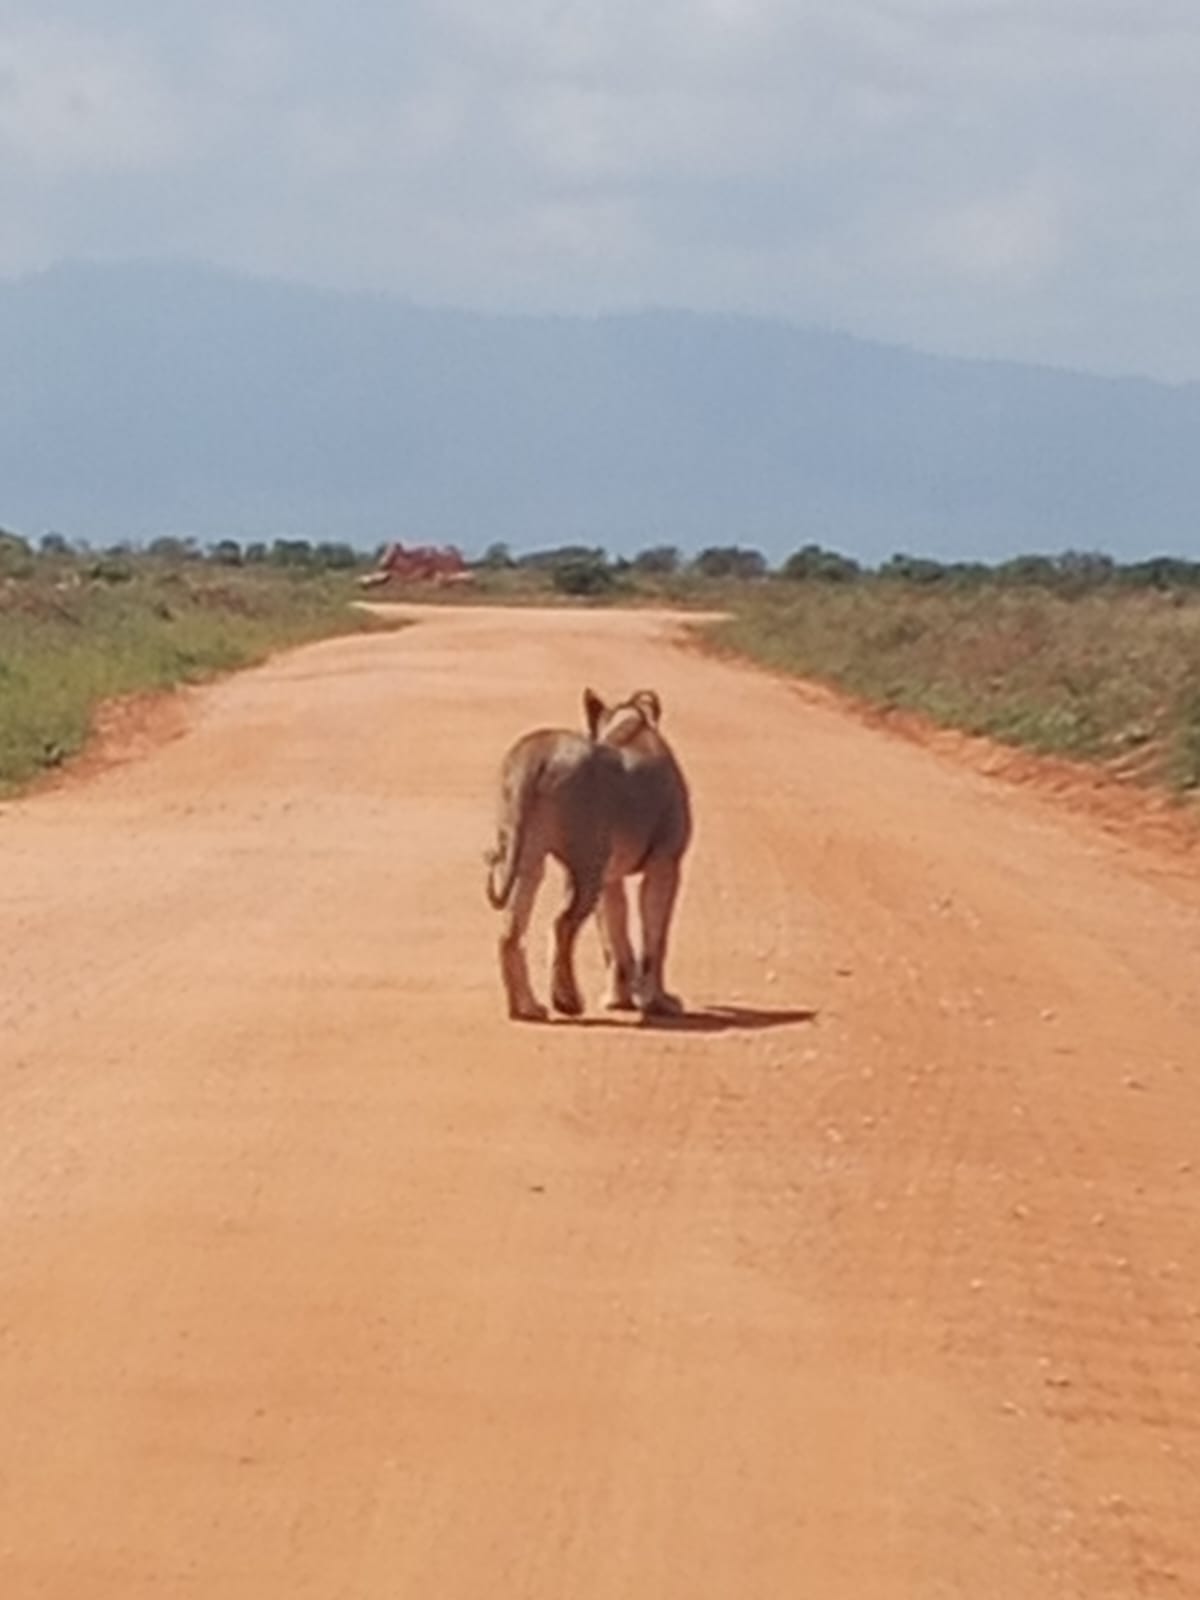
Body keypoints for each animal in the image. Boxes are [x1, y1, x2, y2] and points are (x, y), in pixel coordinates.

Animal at [485, 688, 692, 1022]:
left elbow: (615, 936)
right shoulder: (665, 864)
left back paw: (526, 1008)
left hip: (528, 859)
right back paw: (567, 1001)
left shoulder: (611, 877)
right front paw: (658, 1002)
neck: (630, 726)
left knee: (510, 931)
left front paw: (619, 1000)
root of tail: (536, 755)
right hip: (585, 864)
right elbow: (655, 938)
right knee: (562, 924)